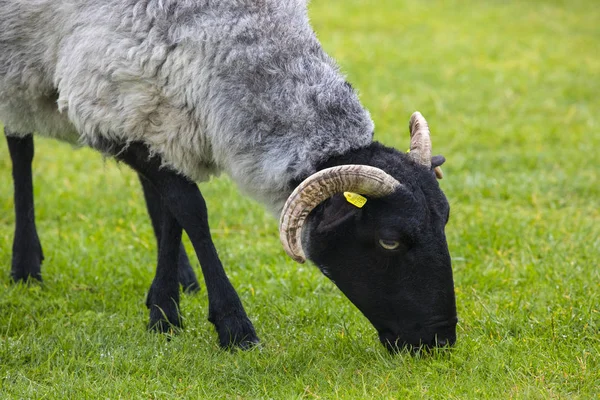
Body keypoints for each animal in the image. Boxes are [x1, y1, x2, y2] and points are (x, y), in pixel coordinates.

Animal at [0, 0, 458, 350]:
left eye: (445, 220)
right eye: (388, 240)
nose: (440, 341)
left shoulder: (154, 115)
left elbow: (172, 208)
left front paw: (163, 309)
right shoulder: (102, 101)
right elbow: (189, 207)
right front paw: (232, 326)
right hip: (20, 70)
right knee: (20, 147)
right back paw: (25, 265)